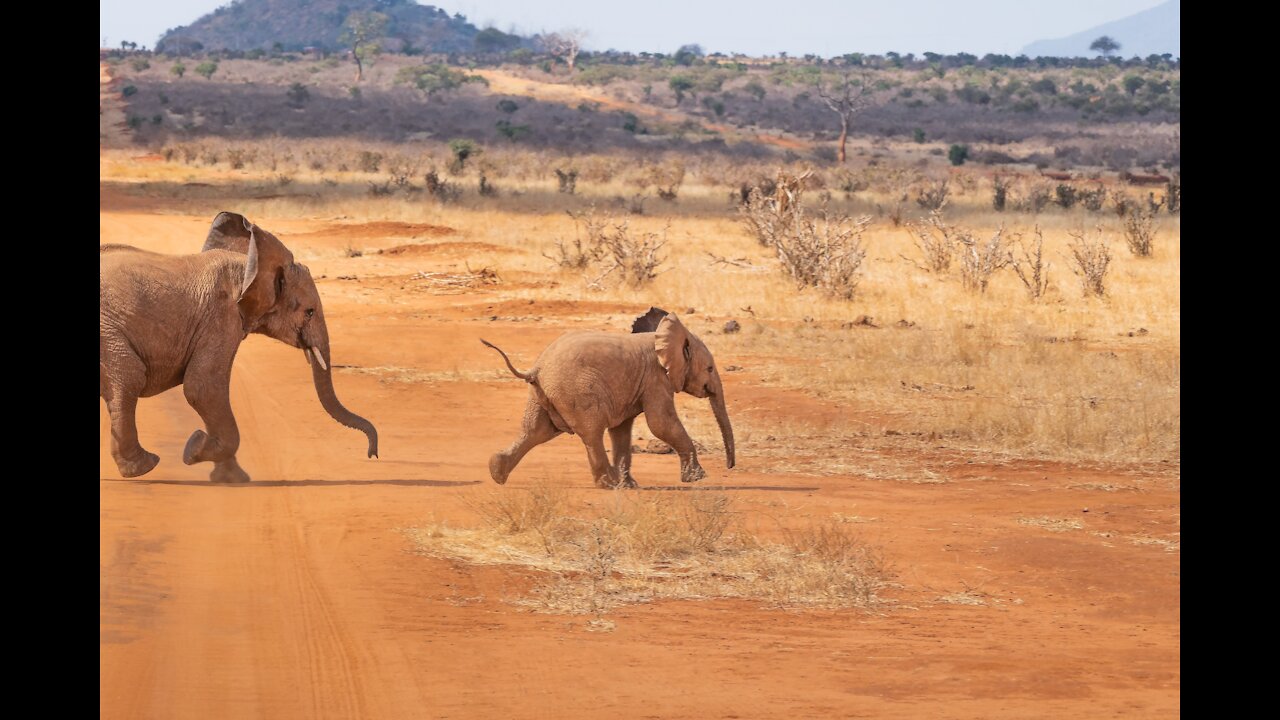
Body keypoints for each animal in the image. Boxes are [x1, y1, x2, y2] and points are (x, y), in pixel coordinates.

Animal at [97, 212, 376, 481]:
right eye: (309, 312)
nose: (372, 454)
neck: (249, 265)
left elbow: (206, 390)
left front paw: (230, 477)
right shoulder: (221, 316)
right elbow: (203, 387)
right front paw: (194, 449)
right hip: (107, 330)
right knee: (130, 376)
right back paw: (144, 466)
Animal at [483, 304, 737, 484]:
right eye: (710, 368)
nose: (730, 467)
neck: (662, 336)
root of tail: (537, 368)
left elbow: (622, 430)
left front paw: (630, 485)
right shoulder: (656, 379)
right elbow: (661, 424)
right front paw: (697, 479)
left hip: (542, 394)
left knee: (535, 431)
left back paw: (497, 473)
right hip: (577, 392)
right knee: (591, 433)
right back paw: (608, 483)